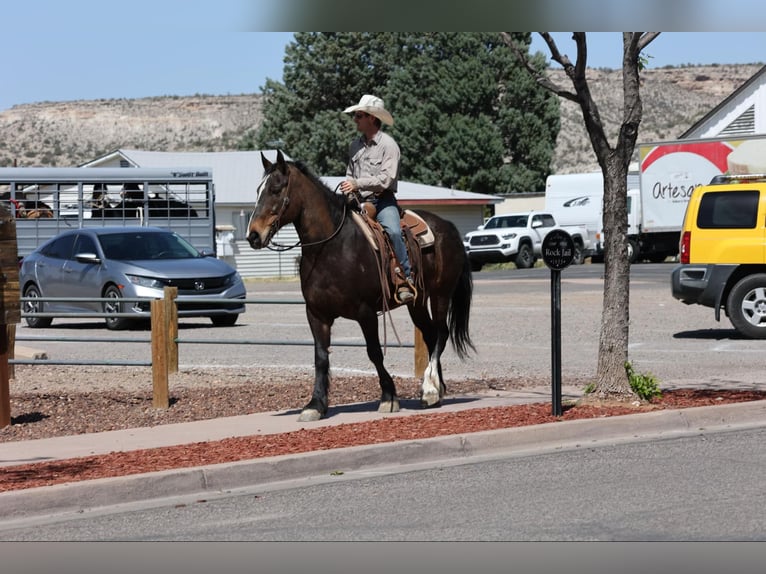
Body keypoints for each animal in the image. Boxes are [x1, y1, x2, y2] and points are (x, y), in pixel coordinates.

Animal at [247, 150, 475, 422]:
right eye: (258, 189)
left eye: (275, 189)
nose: (253, 235)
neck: (331, 247)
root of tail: (449, 227)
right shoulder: (316, 314)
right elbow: (320, 357)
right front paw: (315, 404)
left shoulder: (365, 312)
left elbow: (374, 352)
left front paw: (388, 397)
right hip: (417, 302)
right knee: (430, 335)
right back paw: (435, 391)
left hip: (441, 294)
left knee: (441, 333)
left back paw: (430, 388)